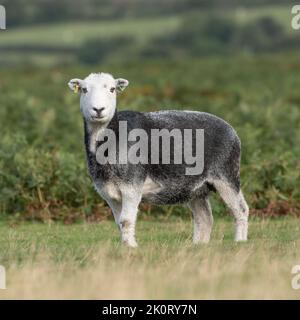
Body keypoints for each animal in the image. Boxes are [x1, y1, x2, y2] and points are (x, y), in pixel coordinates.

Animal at [68, 72, 248, 248]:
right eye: (84, 90)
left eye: (112, 89)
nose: (98, 109)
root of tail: (231, 130)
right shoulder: (108, 192)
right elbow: (119, 223)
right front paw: (125, 246)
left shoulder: (132, 186)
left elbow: (126, 221)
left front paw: (131, 247)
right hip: (197, 188)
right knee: (204, 218)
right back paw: (198, 245)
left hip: (226, 173)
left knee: (241, 210)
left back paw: (240, 241)